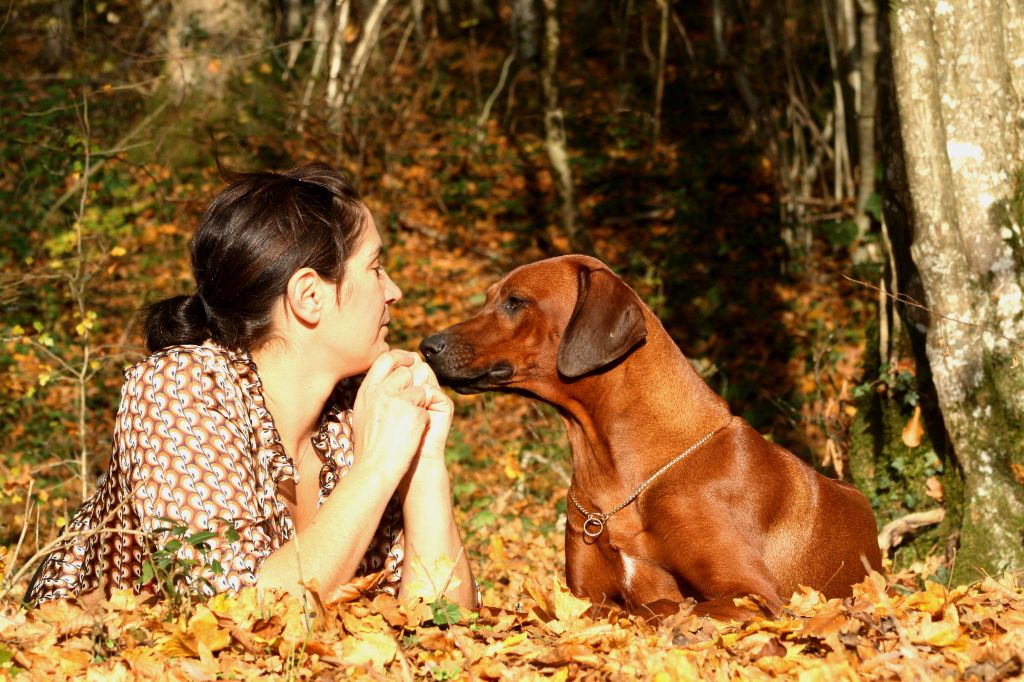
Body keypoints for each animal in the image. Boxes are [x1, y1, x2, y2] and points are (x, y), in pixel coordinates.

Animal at [419, 253, 884, 614]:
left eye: (515, 302)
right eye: (488, 300)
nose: (427, 345)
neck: (622, 477)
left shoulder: (757, 595)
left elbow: (657, 607)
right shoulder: (582, 591)